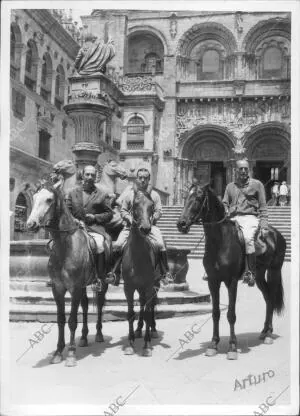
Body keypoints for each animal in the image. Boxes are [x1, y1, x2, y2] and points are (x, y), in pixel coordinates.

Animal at [26, 177, 109, 366]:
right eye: (34, 198)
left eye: (49, 200)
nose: (31, 224)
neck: (65, 247)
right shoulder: (58, 288)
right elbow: (61, 319)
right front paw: (58, 351)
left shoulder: (75, 288)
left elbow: (71, 321)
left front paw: (70, 354)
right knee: (85, 306)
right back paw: (84, 338)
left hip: (103, 282)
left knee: (100, 304)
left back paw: (99, 334)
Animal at [178, 184, 286, 360]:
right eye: (186, 197)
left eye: (198, 198)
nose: (181, 224)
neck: (220, 241)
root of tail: (274, 233)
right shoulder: (213, 281)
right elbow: (215, 313)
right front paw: (213, 344)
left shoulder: (232, 282)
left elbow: (231, 314)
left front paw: (232, 347)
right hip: (259, 276)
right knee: (268, 298)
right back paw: (264, 331)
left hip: (275, 271)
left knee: (271, 296)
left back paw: (269, 334)